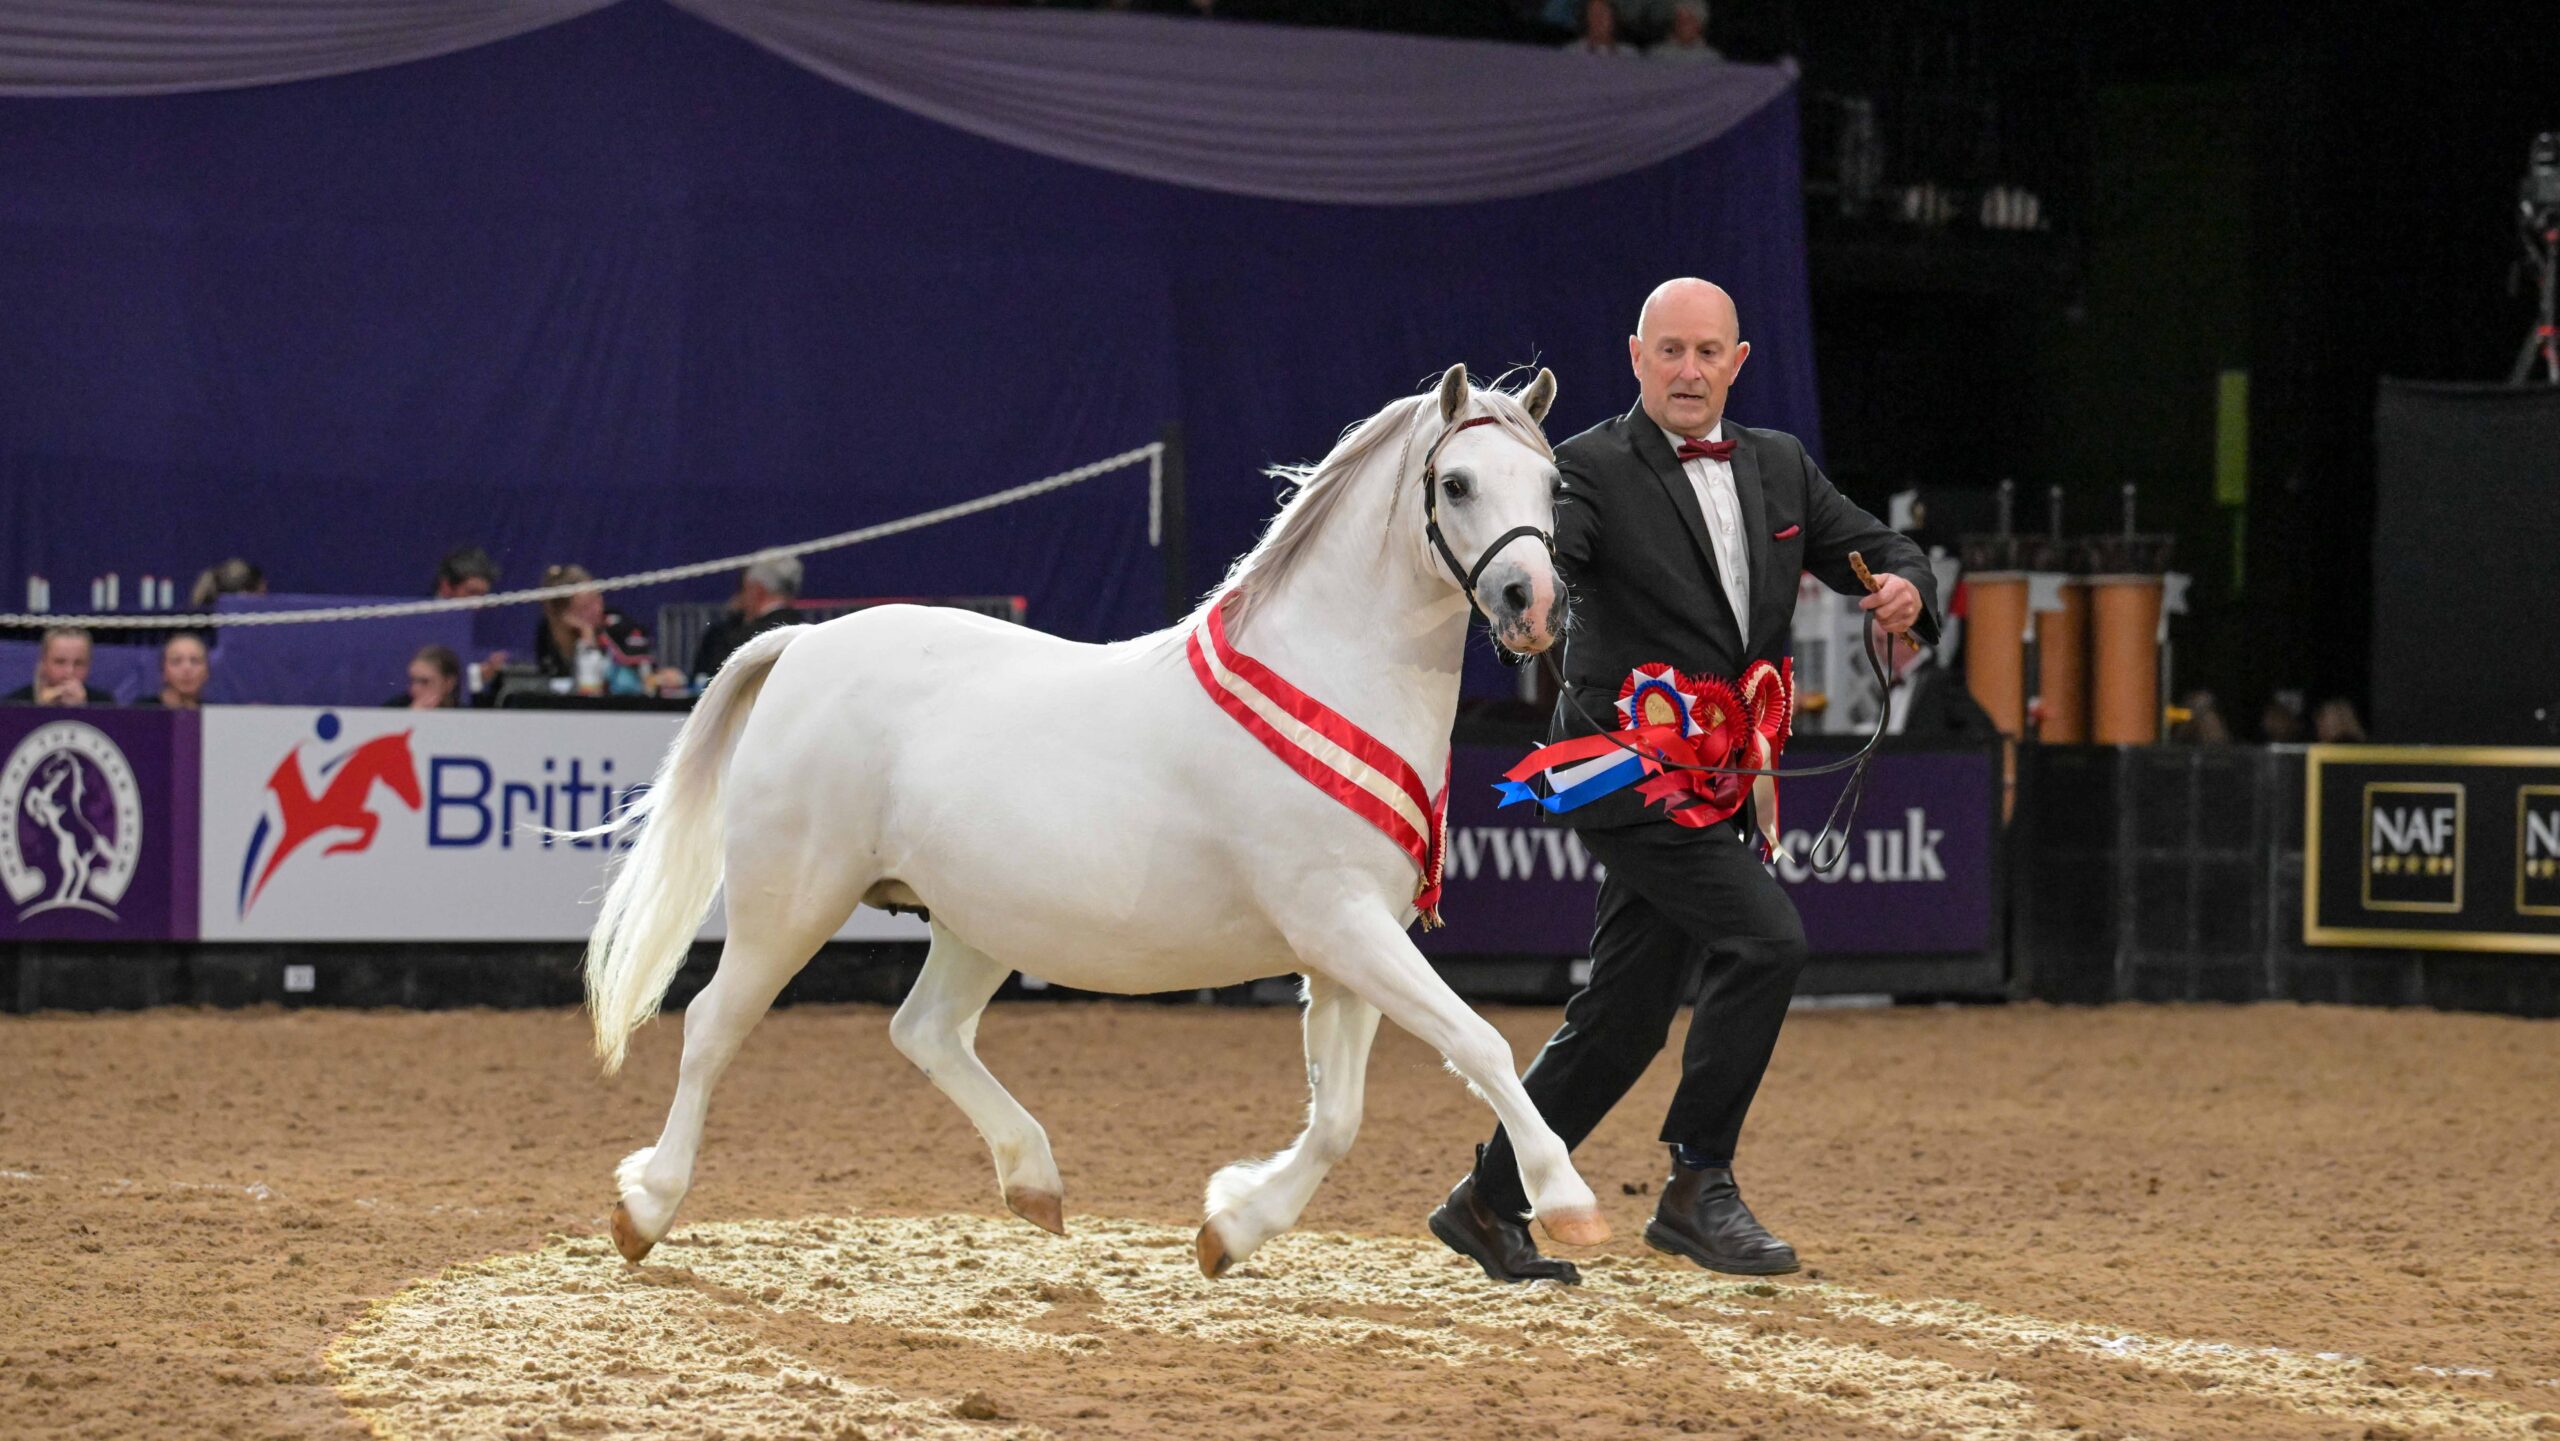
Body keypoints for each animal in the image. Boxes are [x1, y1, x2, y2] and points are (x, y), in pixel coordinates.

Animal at [582, 364, 1609, 1278]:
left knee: (924, 1029)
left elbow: (1339, 1116)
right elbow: (1478, 1041)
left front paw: (1229, 1227)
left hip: (976, 919)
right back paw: (644, 1208)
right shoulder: (1339, 924)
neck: (1327, 681)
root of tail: (805, 641)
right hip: (791, 899)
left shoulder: (1352, 943)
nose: (1533, 604)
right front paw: (1568, 1200)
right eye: (1456, 482)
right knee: (713, 1024)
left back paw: (1034, 1181)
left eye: (1552, 486)